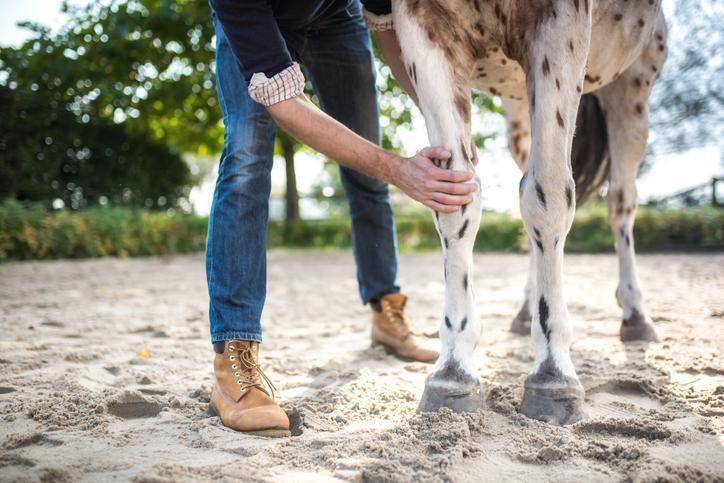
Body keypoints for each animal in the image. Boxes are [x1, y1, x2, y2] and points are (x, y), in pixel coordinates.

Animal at [394, 0, 672, 424]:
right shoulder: (424, 28)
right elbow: (458, 203)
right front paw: (453, 369)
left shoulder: (561, 25)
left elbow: (549, 198)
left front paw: (553, 372)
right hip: (520, 109)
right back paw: (526, 312)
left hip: (632, 85)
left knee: (621, 202)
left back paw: (636, 315)